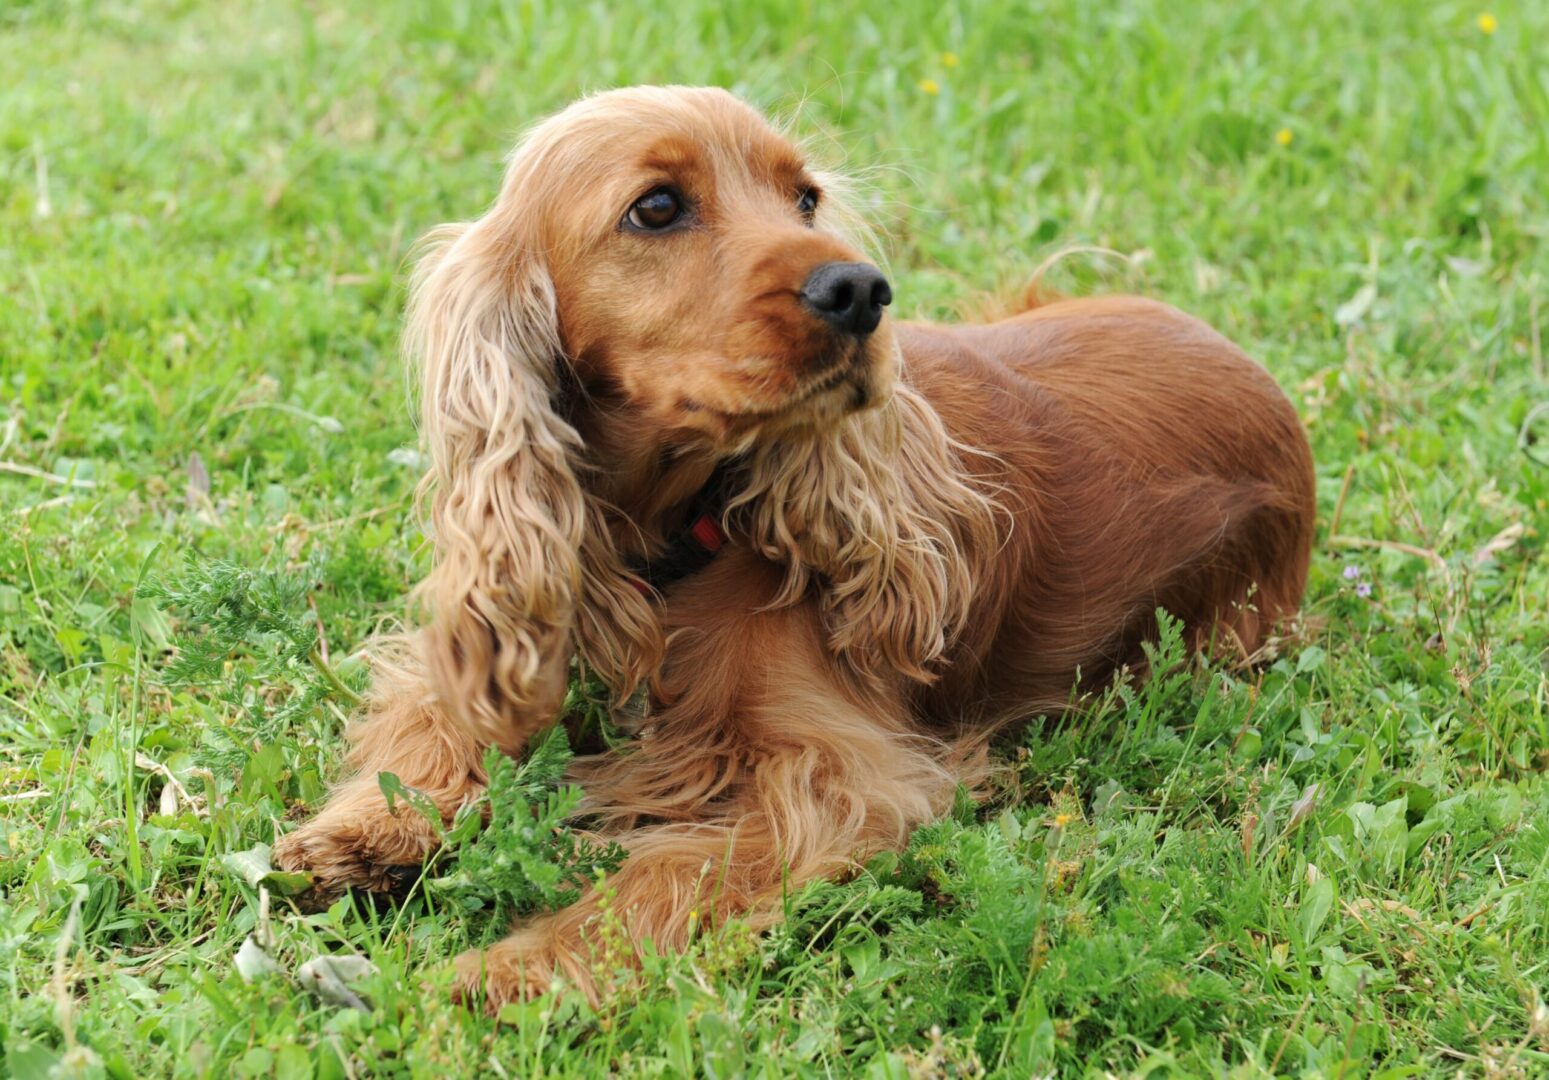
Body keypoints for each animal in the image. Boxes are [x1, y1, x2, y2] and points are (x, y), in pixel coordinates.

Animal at [272, 86, 1313, 1010]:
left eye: (804, 198)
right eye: (657, 208)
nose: (860, 290)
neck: (664, 540)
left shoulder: (834, 777)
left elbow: (670, 873)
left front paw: (517, 969)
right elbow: (436, 719)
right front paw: (360, 832)